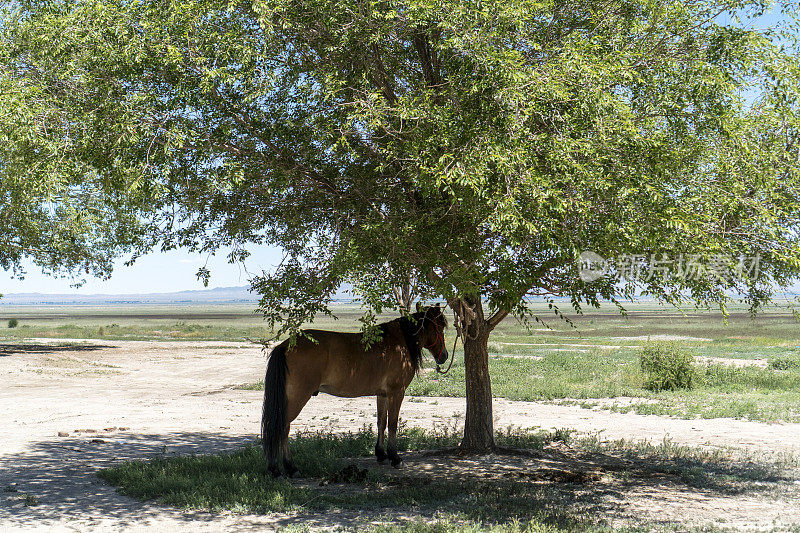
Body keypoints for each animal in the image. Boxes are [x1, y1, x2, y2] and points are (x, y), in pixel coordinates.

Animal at [262, 306, 450, 476]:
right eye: (440, 328)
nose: (444, 356)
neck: (400, 343)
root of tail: (285, 345)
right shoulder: (396, 392)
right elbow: (393, 424)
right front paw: (395, 458)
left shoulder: (382, 395)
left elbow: (381, 422)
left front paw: (381, 454)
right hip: (297, 397)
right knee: (282, 427)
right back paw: (286, 468)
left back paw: (278, 468)